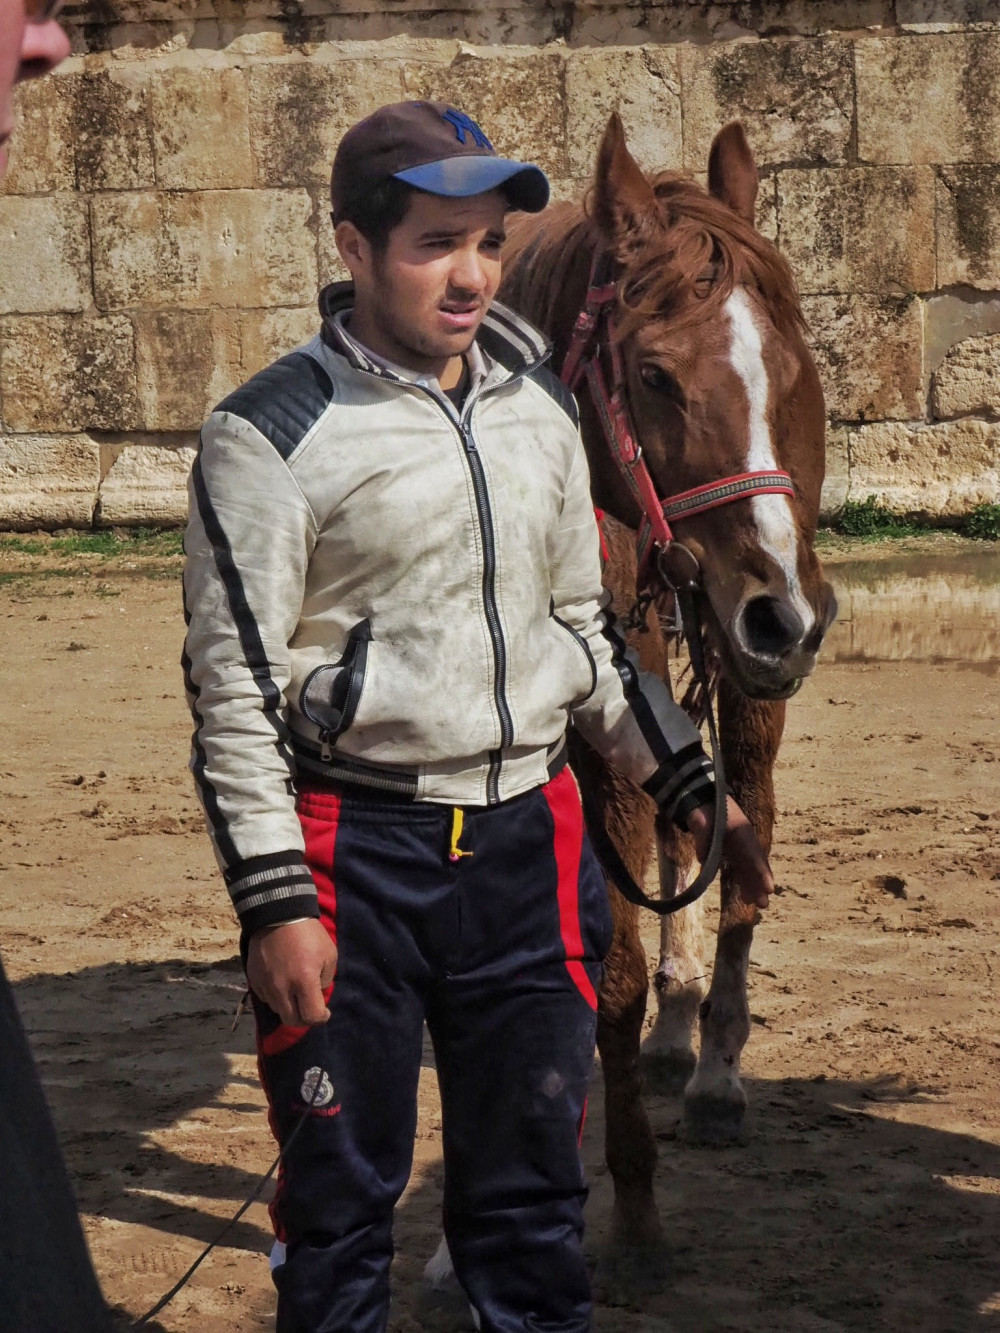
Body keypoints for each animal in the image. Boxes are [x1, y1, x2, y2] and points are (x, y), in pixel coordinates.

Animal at [498, 117, 837, 1247]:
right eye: (651, 374)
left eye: (794, 366)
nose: (785, 612)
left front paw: (638, 1201)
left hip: (746, 670)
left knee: (743, 830)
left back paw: (715, 1061)